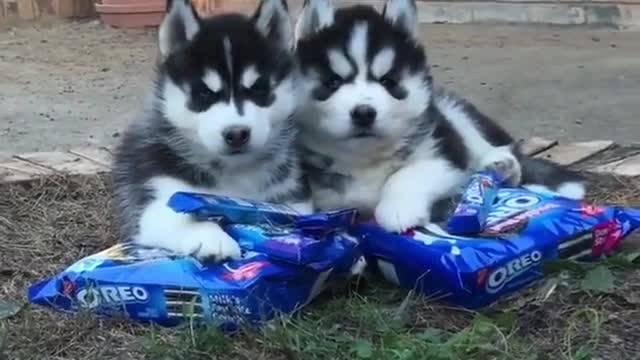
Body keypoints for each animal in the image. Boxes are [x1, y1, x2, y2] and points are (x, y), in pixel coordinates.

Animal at [111, 0, 312, 260]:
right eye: (205, 92)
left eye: (258, 89)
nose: (236, 134)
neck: (235, 173)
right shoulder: (159, 195)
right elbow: (176, 216)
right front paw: (212, 238)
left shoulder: (291, 197)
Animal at [294, 0, 584, 233]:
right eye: (333, 82)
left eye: (388, 82)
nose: (364, 113)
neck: (365, 159)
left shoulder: (446, 152)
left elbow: (408, 173)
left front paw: (398, 209)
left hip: (453, 111)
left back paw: (500, 165)